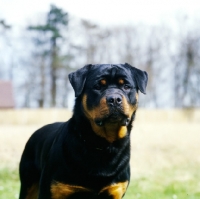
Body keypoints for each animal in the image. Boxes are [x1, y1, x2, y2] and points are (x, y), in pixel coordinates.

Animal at [19, 63, 147, 198]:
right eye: (97, 86)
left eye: (126, 86)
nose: (114, 99)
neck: (104, 145)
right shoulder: (50, 190)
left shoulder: (116, 190)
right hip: (28, 184)